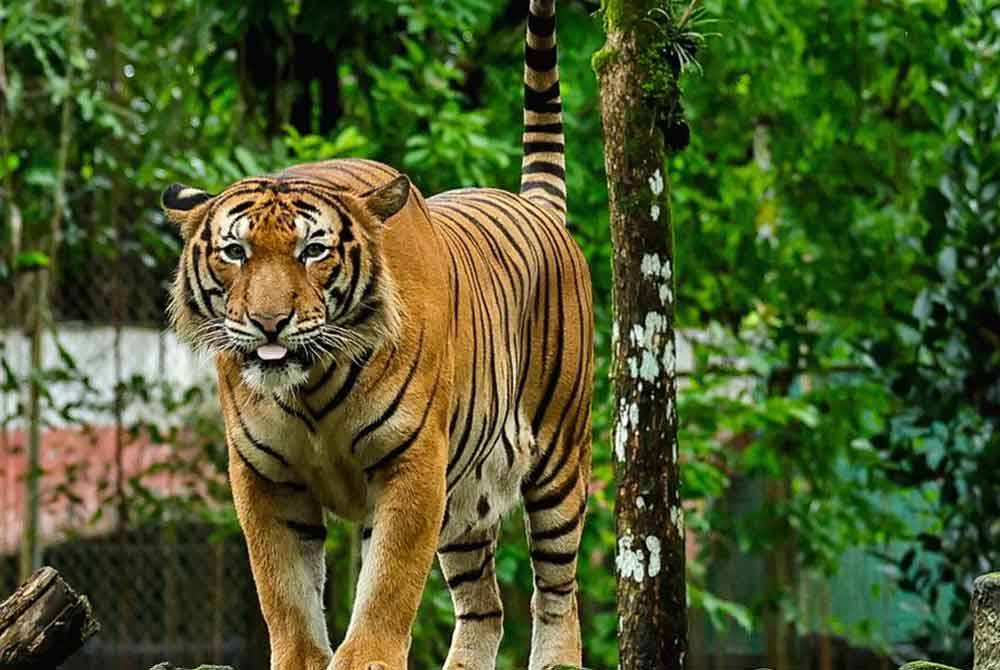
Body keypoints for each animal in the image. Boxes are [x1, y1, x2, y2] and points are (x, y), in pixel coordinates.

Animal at [160, 2, 588, 668]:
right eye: (236, 252)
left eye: (313, 251)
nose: (268, 322)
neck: (309, 387)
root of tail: (535, 206)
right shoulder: (264, 474)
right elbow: (284, 589)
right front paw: (302, 658)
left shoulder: (413, 462)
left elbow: (388, 581)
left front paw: (364, 658)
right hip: (468, 505)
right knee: (484, 606)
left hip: (559, 458)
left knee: (558, 589)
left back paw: (558, 657)